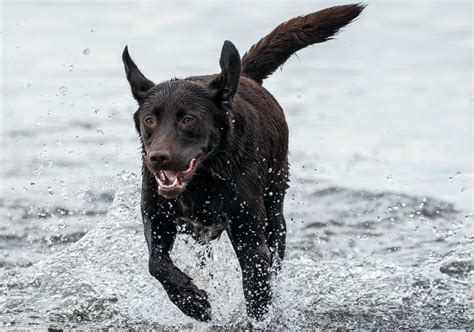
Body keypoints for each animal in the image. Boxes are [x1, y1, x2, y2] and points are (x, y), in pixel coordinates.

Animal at [122, 3, 362, 322]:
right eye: (150, 120)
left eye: (188, 119)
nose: (158, 158)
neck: (204, 179)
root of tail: (242, 77)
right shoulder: (157, 216)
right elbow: (156, 262)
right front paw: (192, 301)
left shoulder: (250, 238)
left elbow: (257, 290)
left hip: (275, 213)